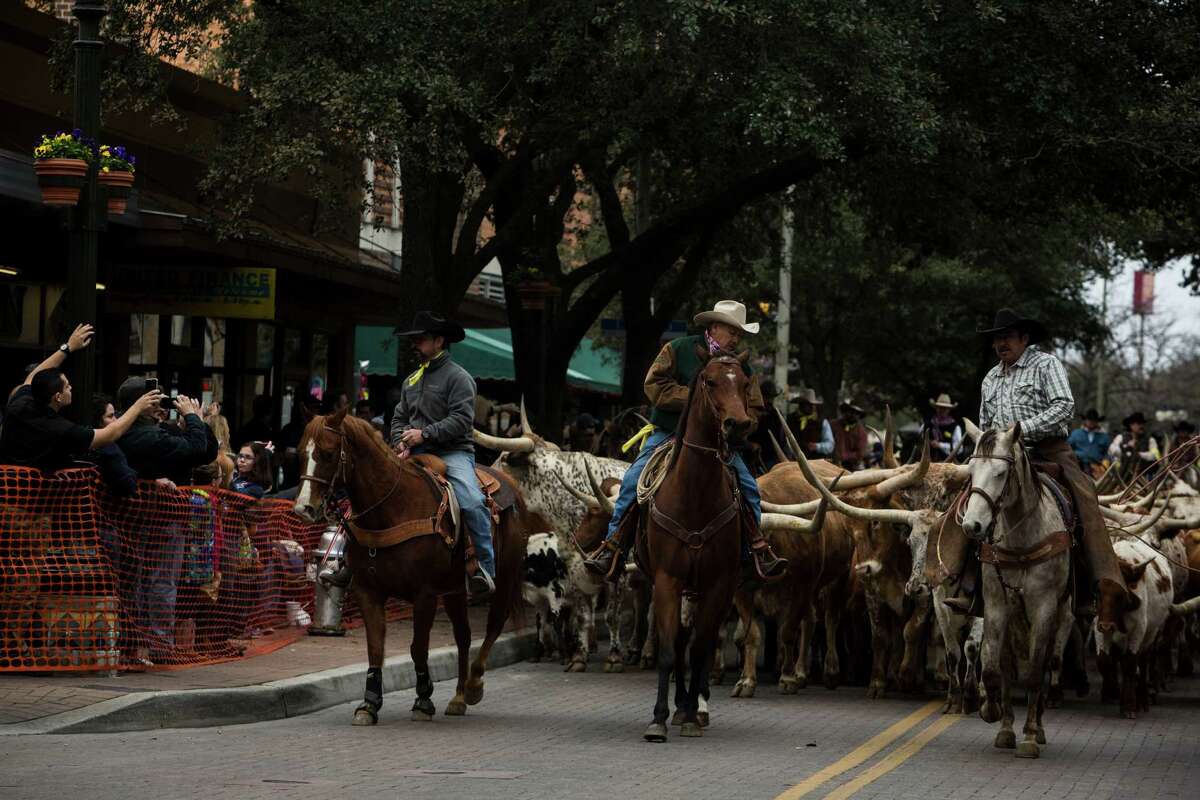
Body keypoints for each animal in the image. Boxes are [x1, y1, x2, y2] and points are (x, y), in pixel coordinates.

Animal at [291, 410, 525, 729]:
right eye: (302, 453)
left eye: (327, 453)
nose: (303, 509)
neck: (391, 509)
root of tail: (511, 485)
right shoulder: (368, 591)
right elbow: (376, 648)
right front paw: (369, 704)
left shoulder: (424, 595)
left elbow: (418, 647)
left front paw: (423, 701)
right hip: (454, 591)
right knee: (463, 635)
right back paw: (458, 698)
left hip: (505, 577)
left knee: (494, 625)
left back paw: (474, 685)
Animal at [643, 352, 753, 743]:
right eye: (710, 381)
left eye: (746, 384)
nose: (739, 425)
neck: (694, 494)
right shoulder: (666, 579)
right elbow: (668, 648)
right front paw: (660, 719)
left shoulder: (718, 582)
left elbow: (702, 648)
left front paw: (692, 714)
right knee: (680, 642)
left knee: (703, 643)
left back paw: (697, 705)